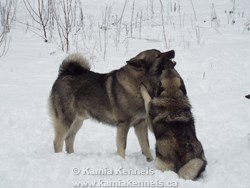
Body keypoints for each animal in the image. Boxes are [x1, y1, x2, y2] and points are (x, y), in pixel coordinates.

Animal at [47, 48, 175, 160]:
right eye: (158, 55)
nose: (173, 51)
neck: (139, 83)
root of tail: (63, 74)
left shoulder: (140, 124)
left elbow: (145, 146)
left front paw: (150, 161)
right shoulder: (123, 125)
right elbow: (122, 146)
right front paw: (122, 161)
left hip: (78, 121)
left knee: (69, 139)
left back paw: (71, 156)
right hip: (66, 120)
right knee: (57, 142)